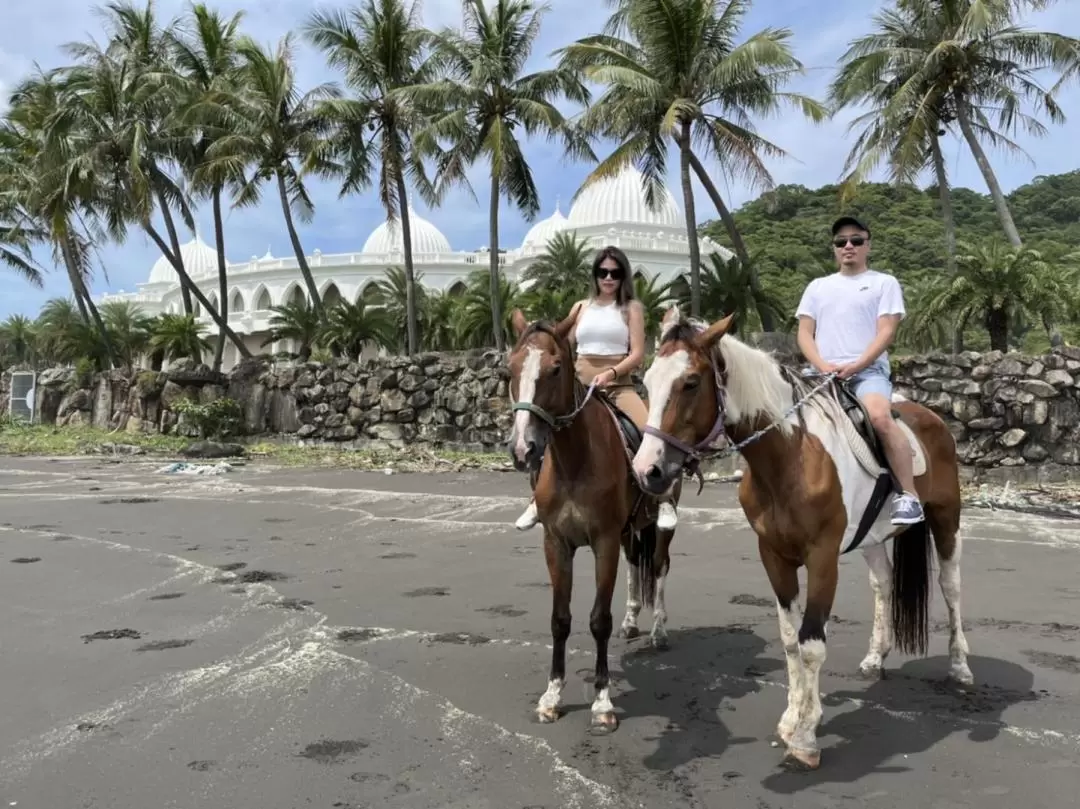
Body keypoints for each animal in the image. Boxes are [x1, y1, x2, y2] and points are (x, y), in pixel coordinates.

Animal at [507, 306, 682, 730]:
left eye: (555, 368)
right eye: (510, 369)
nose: (522, 449)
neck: (574, 461)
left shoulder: (603, 542)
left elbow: (599, 619)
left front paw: (602, 702)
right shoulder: (556, 543)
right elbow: (560, 619)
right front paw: (552, 695)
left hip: (657, 528)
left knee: (659, 565)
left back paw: (658, 629)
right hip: (629, 531)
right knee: (636, 562)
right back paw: (633, 620)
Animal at [630, 304, 976, 769]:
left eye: (690, 382)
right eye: (648, 382)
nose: (647, 470)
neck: (790, 457)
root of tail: (932, 417)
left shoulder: (822, 558)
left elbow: (812, 643)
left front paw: (806, 737)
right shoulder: (773, 555)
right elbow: (790, 640)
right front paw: (792, 717)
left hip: (946, 518)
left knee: (951, 584)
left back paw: (960, 667)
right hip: (872, 538)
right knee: (882, 583)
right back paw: (875, 658)